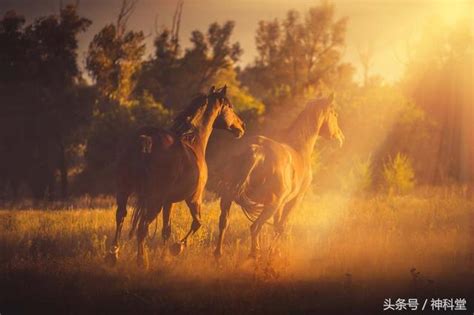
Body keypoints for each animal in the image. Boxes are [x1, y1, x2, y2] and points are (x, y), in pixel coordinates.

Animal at [106, 85, 246, 268]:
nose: (241, 126)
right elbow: (197, 223)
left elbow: (166, 230)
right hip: (154, 200)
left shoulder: (169, 202)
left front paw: (164, 257)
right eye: (229, 107)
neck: (193, 141)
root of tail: (145, 138)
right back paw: (142, 261)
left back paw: (113, 255)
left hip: (124, 191)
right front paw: (177, 248)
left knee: (121, 216)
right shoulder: (194, 198)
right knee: (142, 227)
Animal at [213, 94, 342, 262]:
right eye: (334, 114)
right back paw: (254, 256)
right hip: (270, 205)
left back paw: (218, 256)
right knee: (255, 227)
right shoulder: (294, 201)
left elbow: (276, 226)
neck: (299, 150)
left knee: (224, 222)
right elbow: (281, 226)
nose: (340, 138)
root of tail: (257, 150)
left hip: (228, 197)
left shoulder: (280, 205)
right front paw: (274, 253)